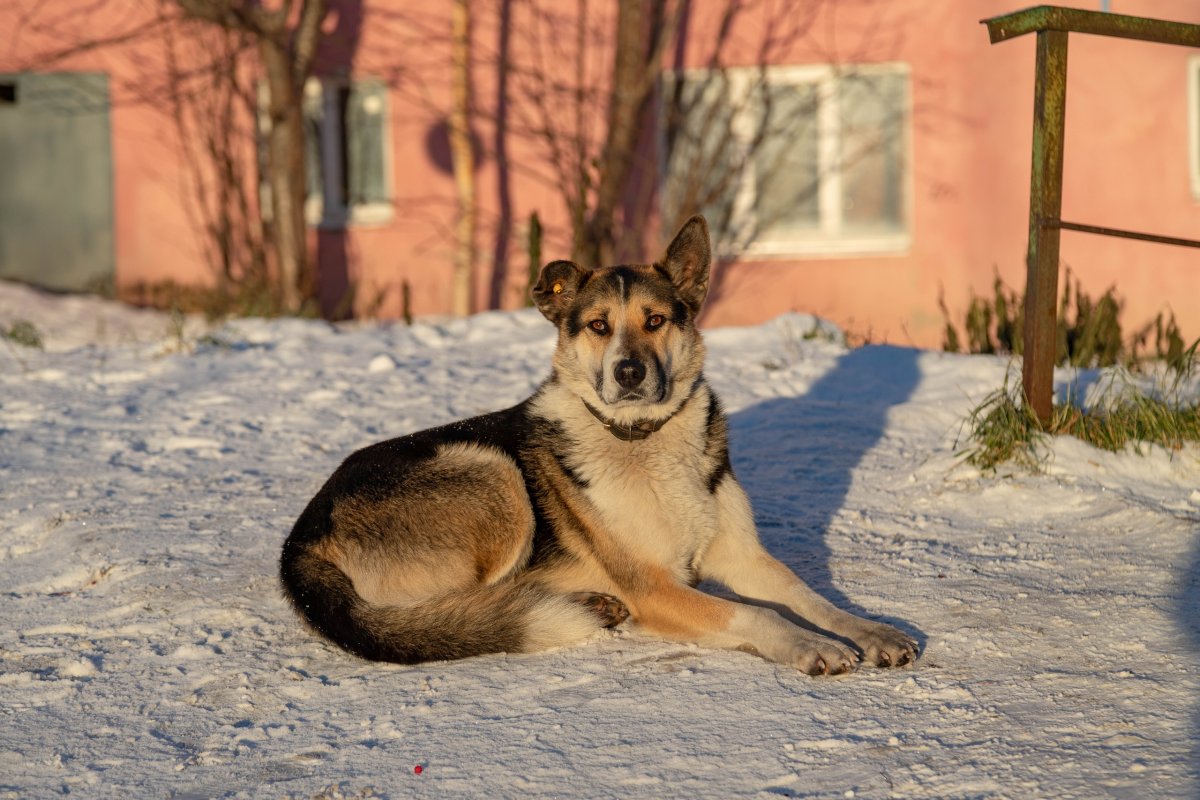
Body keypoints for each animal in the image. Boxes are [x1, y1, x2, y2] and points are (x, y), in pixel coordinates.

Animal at [280, 215, 917, 675]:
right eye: (599, 326)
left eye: (656, 320)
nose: (628, 372)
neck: (642, 439)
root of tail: (300, 536)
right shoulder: (654, 587)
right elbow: (752, 614)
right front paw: (810, 646)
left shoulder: (743, 557)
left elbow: (810, 597)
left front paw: (872, 630)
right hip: (491, 474)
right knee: (457, 615)